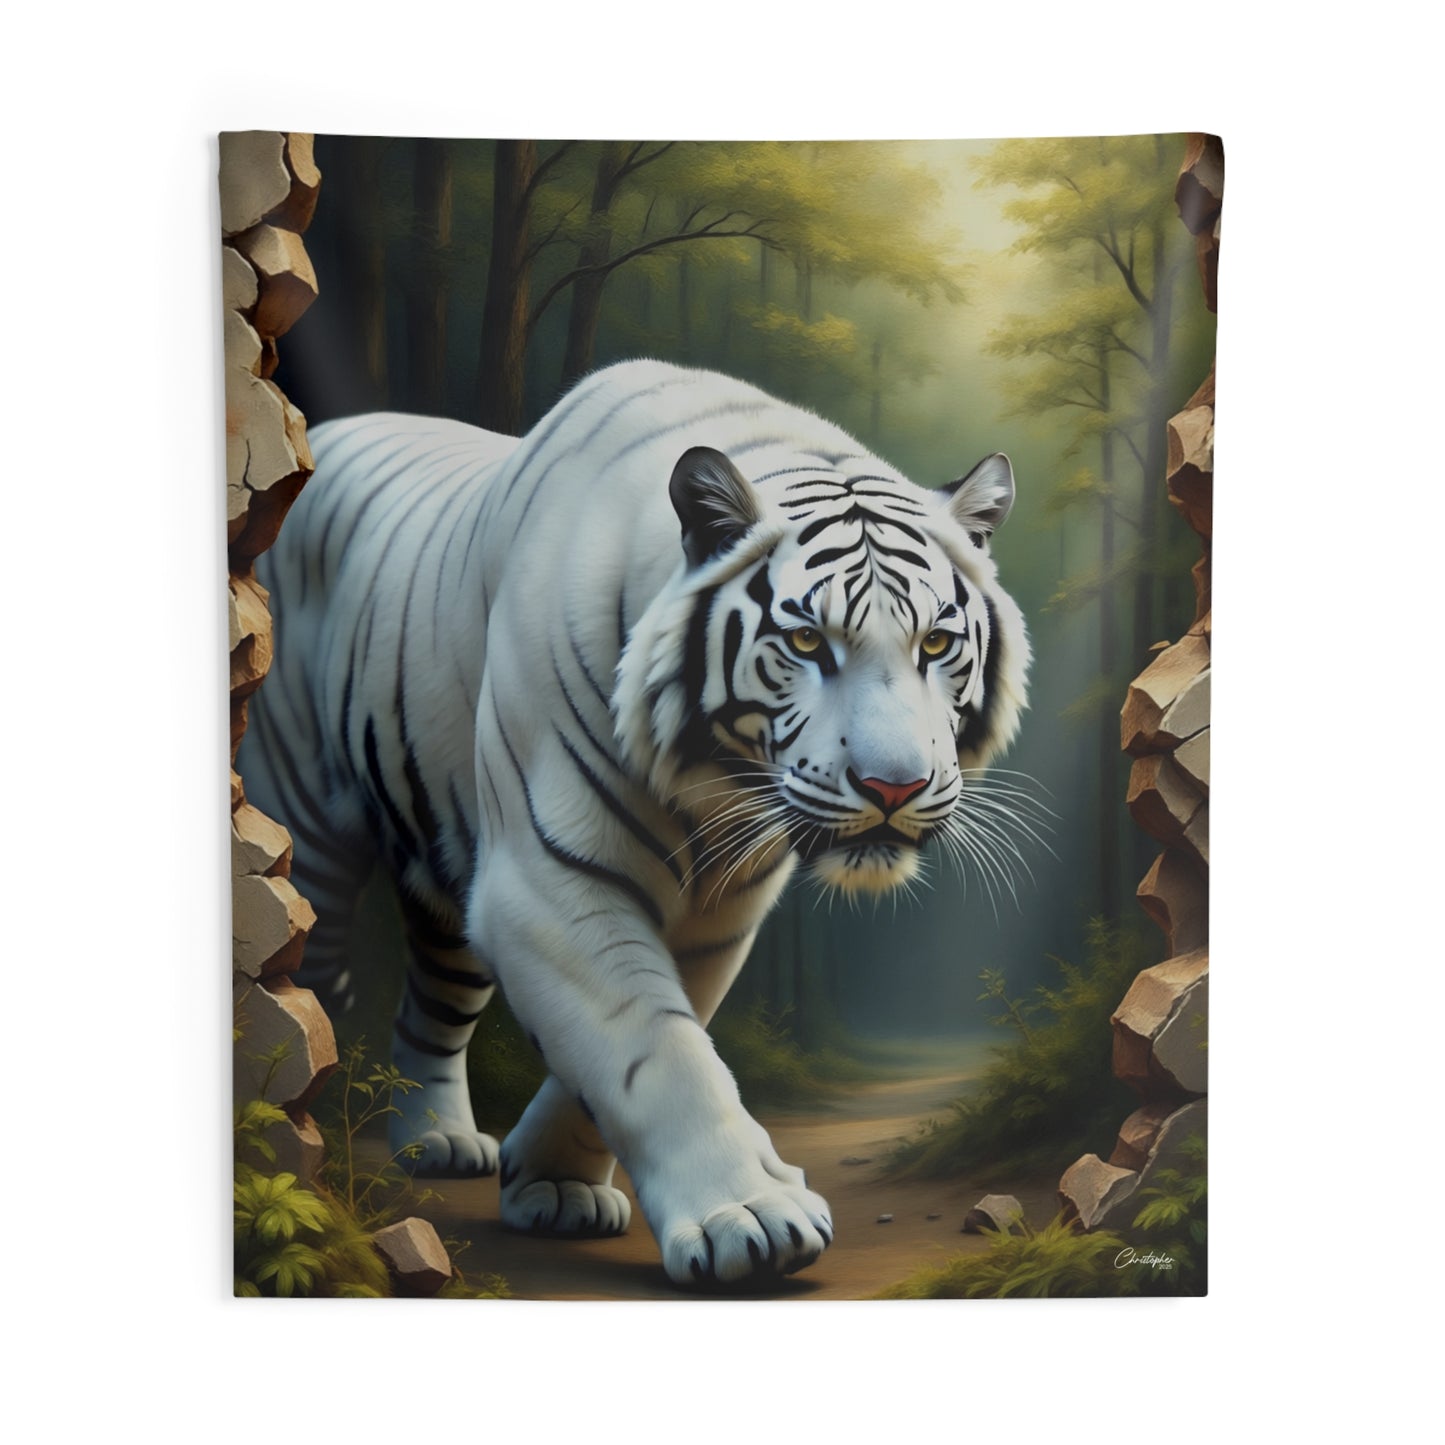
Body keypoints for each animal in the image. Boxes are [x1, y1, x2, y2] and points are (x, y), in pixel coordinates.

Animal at [240, 359, 1030, 1287]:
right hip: (306, 820)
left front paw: (552, 1183)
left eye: (936, 645)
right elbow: (654, 1044)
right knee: (300, 985)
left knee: (430, 1005)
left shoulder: (716, 908)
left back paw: (437, 1141)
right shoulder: (545, 881)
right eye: (805, 643)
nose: (892, 787)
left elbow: (638, 1041)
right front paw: (749, 1214)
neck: (711, 785)